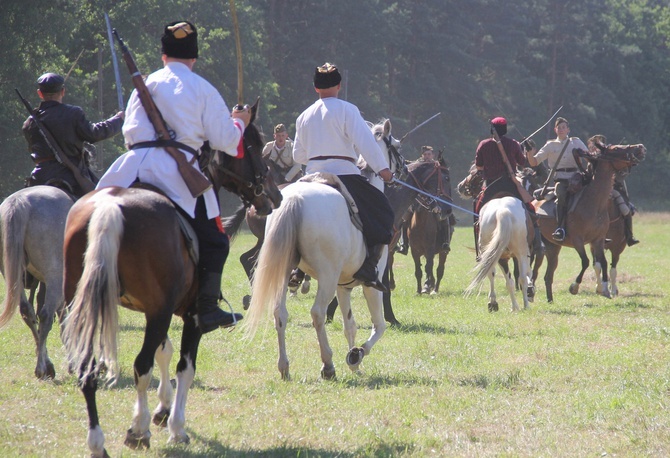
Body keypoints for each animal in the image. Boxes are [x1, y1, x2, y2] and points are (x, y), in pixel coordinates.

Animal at [0, 186, 75, 380]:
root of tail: (18, 203)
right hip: (54, 278)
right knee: (46, 315)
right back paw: (42, 367)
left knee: (28, 313)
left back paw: (46, 364)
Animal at [60, 102, 284, 456]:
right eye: (252, 144)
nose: (274, 196)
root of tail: (110, 206)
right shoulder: (184, 315)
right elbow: (184, 367)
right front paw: (175, 426)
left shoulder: (157, 310)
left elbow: (163, 352)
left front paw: (162, 409)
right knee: (140, 366)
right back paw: (137, 431)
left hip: (82, 307)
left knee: (88, 368)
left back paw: (97, 441)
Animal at [244, 159, 448, 382]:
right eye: (445, 177)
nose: (445, 209)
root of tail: (296, 199)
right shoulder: (372, 284)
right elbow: (379, 324)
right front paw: (357, 354)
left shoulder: (343, 286)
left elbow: (350, 325)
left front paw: (355, 364)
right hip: (327, 276)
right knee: (317, 312)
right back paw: (327, 365)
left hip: (283, 271)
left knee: (279, 312)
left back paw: (284, 367)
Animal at [532, 141, 648, 302]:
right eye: (616, 148)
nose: (640, 147)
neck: (594, 204)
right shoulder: (578, 241)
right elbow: (586, 261)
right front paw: (574, 287)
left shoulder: (599, 240)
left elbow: (603, 263)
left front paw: (605, 289)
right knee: (534, 267)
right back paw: (529, 292)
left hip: (553, 247)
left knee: (548, 274)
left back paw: (549, 299)